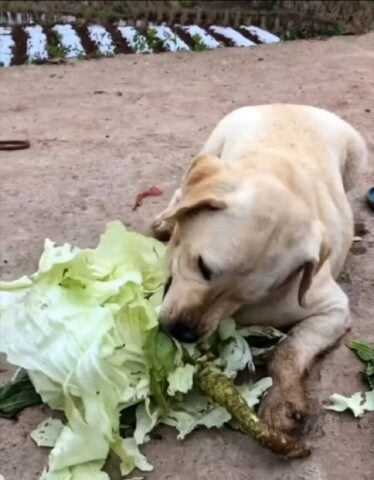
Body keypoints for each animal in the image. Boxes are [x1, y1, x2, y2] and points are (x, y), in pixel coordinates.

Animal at [151, 103, 366, 434]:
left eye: (247, 296)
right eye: (202, 266)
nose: (184, 333)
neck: (277, 172)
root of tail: (291, 104)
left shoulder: (333, 310)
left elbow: (289, 349)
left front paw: (283, 399)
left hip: (357, 156)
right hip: (213, 143)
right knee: (182, 190)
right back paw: (167, 218)